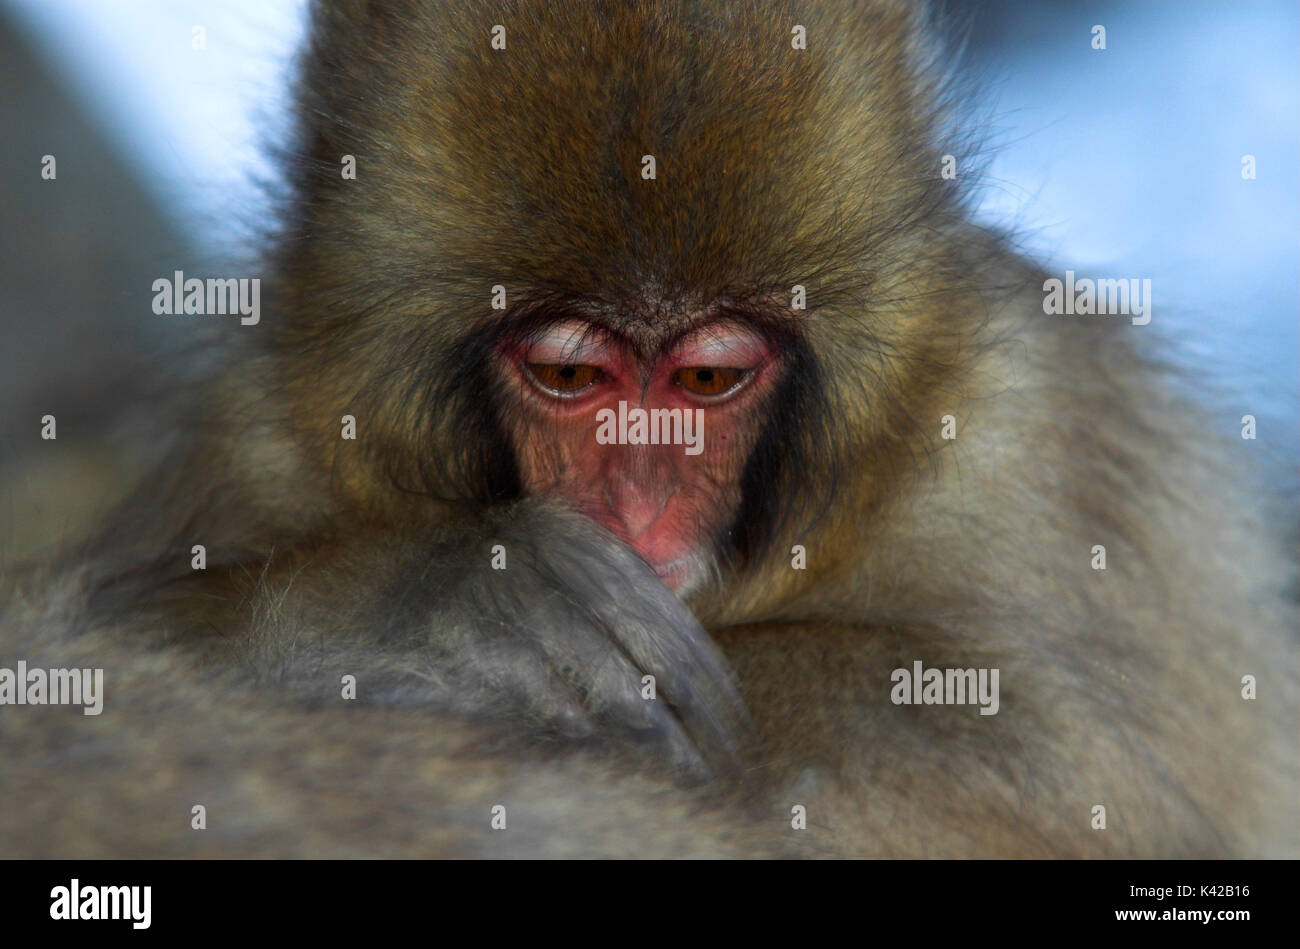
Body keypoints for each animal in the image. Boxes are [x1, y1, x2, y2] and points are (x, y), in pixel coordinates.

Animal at [0, 0, 1295, 859]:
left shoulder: (1025, 439)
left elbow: (1043, 758)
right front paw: (443, 607)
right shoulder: (268, 439)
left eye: (707, 374)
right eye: (572, 372)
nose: (638, 502)